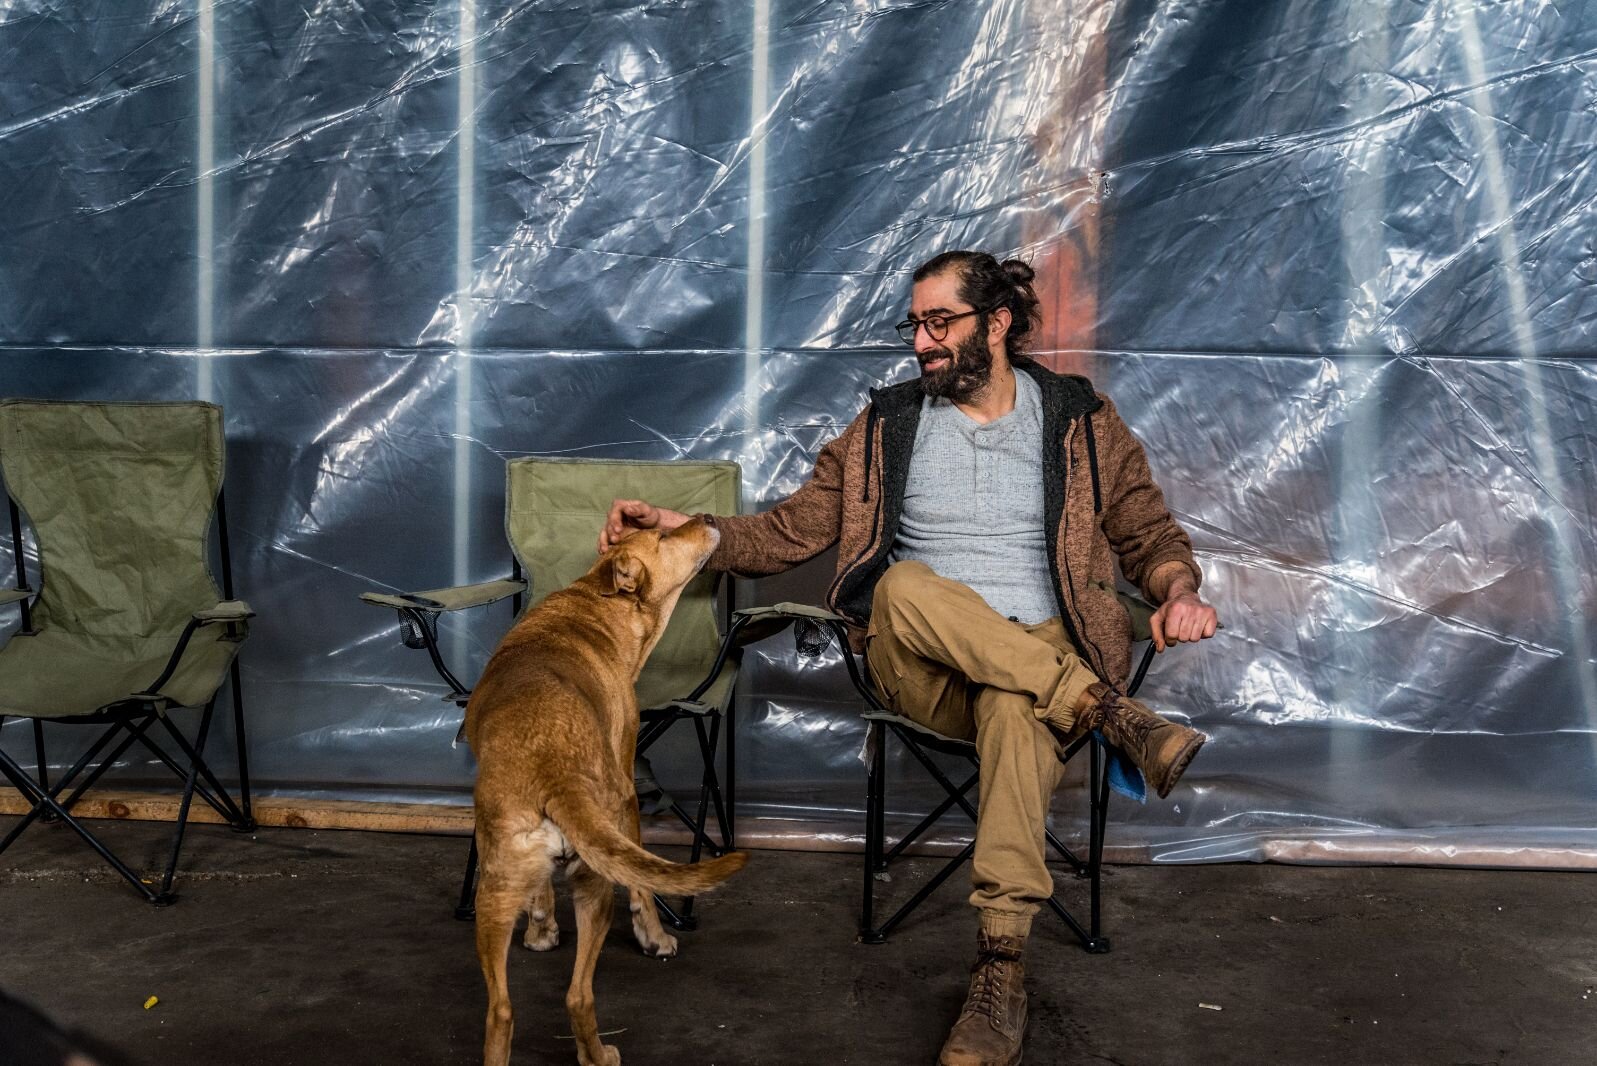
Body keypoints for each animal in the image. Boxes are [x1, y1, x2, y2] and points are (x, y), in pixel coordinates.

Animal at [466, 510, 744, 1059]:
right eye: (663, 534)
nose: (705, 517)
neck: (594, 605)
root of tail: (553, 770)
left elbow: (540, 892)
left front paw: (541, 928)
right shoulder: (627, 791)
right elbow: (643, 884)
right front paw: (654, 936)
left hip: (495, 891)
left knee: (501, 1011)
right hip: (594, 882)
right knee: (578, 995)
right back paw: (599, 1055)